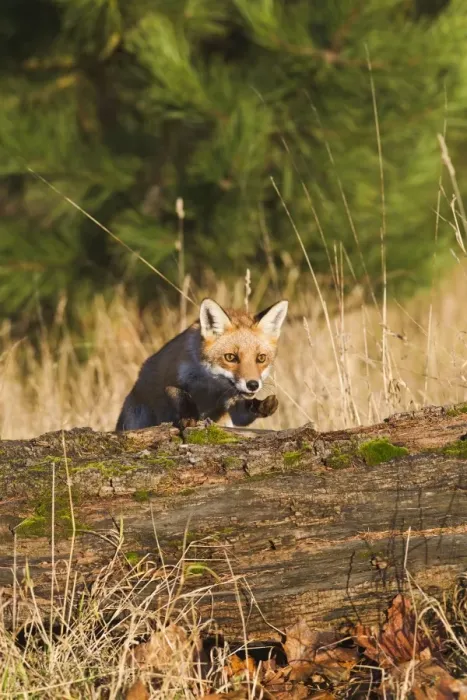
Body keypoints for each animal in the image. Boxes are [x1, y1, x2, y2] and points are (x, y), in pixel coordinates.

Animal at [116, 297, 288, 431]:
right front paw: (189, 417)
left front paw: (260, 405)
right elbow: (182, 396)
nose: (253, 385)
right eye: (230, 357)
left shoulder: (231, 410)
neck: (211, 386)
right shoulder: (170, 378)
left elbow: (244, 412)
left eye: (261, 358)